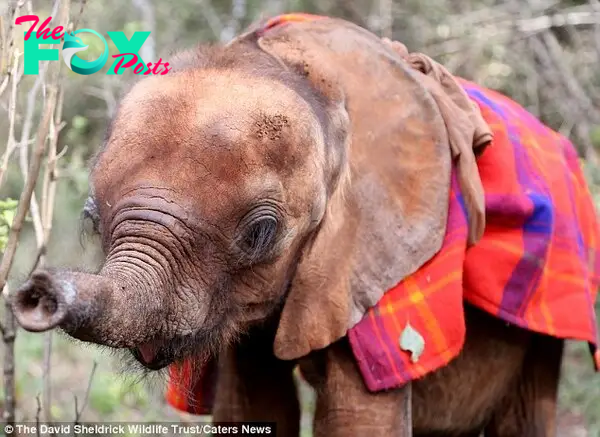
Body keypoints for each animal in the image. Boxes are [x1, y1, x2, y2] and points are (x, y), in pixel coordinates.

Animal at [10, 11, 600, 434]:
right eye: (92, 219)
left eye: (260, 233)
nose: (37, 292)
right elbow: (255, 407)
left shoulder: (374, 253)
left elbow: (357, 414)